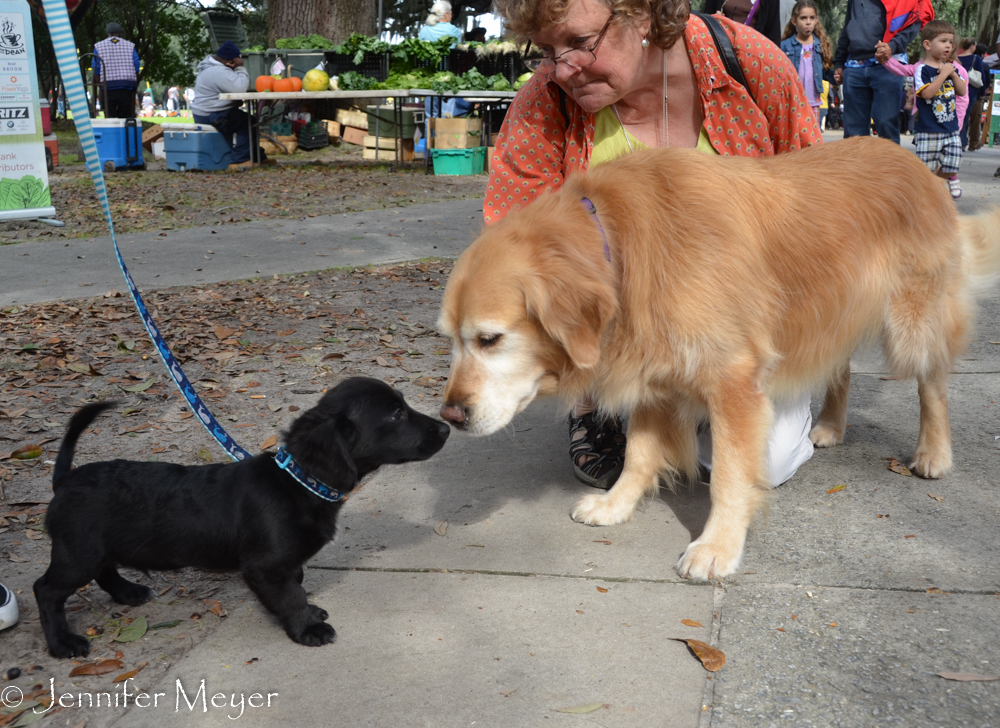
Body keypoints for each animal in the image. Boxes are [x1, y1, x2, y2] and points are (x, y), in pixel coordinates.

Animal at [35, 376, 450, 660]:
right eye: (396, 413)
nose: (447, 427)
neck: (297, 481)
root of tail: (64, 480)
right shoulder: (265, 567)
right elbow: (290, 596)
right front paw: (308, 628)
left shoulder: (284, 564)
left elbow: (297, 585)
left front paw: (310, 612)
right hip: (78, 553)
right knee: (46, 590)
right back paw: (62, 643)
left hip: (95, 549)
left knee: (105, 571)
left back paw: (128, 592)